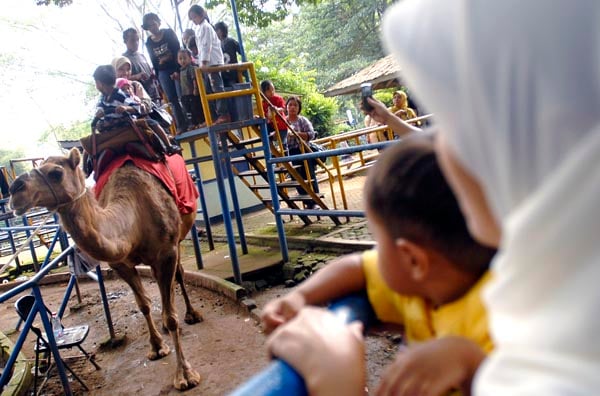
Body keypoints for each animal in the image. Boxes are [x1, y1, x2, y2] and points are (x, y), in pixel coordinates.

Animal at [8, 148, 202, 390]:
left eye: (56, 173)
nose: (14, 190)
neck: (134, 217)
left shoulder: (167, 252)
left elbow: (172, 317)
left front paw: (185, 375)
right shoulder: (121, 264)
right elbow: (143, 305)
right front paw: (157, 347)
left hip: (182, 231)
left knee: (180, 275)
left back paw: (192, 314)